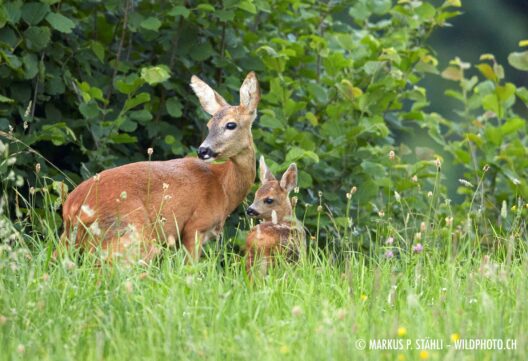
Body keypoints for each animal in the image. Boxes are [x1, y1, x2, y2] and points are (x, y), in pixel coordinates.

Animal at [62, 71, 260, 262]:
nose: (203, 150)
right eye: (210, 124)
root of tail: (72, 207)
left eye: (231, 124)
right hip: (133, 234)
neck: (223, 187)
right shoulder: (195, 226)